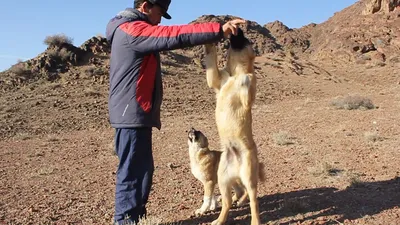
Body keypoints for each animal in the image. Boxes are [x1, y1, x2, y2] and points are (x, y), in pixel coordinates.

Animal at [205, 28, 264, 225]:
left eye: (246, 38)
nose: (238, 29)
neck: (235, 73)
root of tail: (237, 169)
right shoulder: (216, 79)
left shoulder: (250, 93)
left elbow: (248, 77)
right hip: (223, 179)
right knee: (228, 202)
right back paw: (219, 220)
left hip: (249, 176)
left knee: (253, 199)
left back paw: (255, 220)